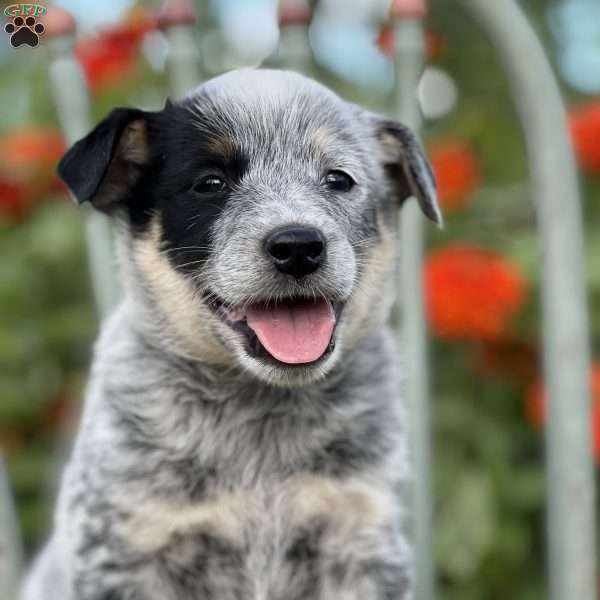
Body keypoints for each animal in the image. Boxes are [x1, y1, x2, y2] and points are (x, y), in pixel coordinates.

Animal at [22, 69, 440, 600]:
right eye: (210, 184)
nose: (298, 245)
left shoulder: (360, 538)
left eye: (339, 179)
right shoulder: (127, 551)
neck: (257, 413)